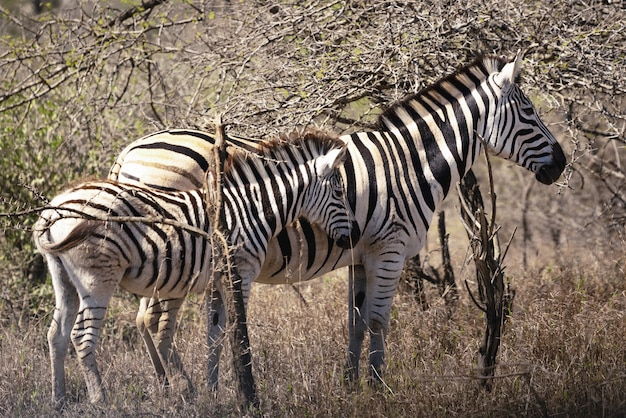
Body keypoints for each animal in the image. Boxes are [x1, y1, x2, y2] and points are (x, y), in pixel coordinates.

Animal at [33, 131, 356, 408]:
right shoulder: (240, 273)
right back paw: (100, 400)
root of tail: (53, 209)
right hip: (97, 279)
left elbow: (215, 334)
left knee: (57, 334)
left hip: (64, 278)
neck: (250, 209)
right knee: (82, 336)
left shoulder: (217, 280)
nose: (352, 237)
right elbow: (237, 332)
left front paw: (213, 391)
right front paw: (247, 393)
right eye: (339, 192)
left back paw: (59, 400)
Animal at [112, 52, 564, 396]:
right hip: (180, 256)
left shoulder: (361, 255)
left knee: (148, 321)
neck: (408, 164)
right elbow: (379, 321)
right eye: (528, 112)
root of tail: (128, 152)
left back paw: (176, 389)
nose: (560, 164)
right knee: (157, 323)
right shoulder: (390, 249)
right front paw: (380, 390)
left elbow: (357, 322)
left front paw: (351, 387)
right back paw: (183, 390)